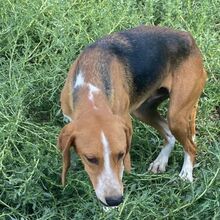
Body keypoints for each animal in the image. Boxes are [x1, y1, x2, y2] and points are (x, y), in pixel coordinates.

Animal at [58, 25, 206, 206]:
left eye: (121, 154)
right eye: (90, 159)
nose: (115, 200)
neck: (91, 84)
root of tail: (188, 37)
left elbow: (119, 172)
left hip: (176, 116)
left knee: (191, 146)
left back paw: (186, 174)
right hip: (143, 110)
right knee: (169, 133)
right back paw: (161, 161)